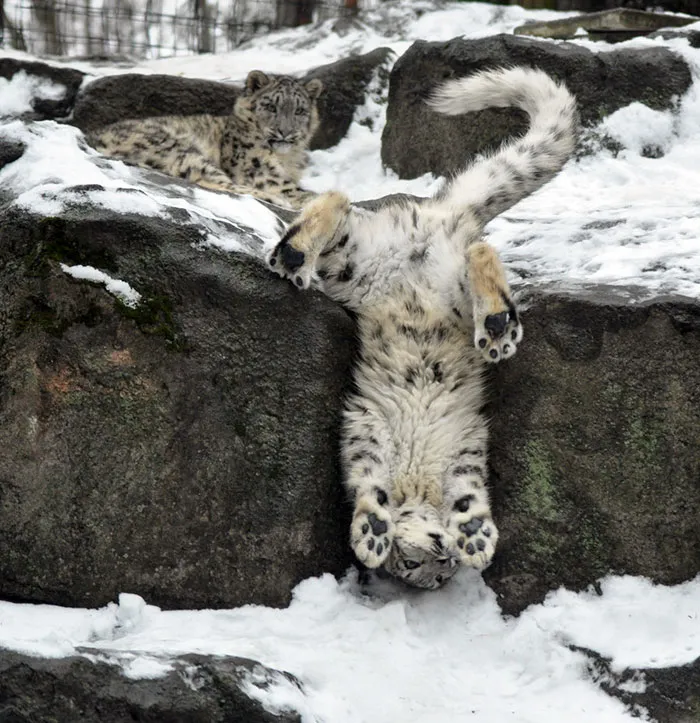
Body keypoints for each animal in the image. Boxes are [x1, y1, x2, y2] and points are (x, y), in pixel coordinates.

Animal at [86, 70, 323, 209]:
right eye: (271, 106)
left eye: (300, 111)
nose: (285, 131)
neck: (287, 159)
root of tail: (93, 137)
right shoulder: (260, 170)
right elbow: (292, 189)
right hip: (177, 147)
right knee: (214, 182)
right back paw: (275, 199)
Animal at [267, 67, 577, 590]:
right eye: (415, 569)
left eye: (437, 572)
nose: (443, 558)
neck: (420, 480)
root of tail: (433, 216)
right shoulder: (366, 431)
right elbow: (368, 480)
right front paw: (373, 532)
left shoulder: (465, 452)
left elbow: (468, 490)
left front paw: (475, 534)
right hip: (360, 263)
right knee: (351, 206)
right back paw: (295, 251)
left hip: (410, 277)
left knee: (461, 247)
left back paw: (497, 326)